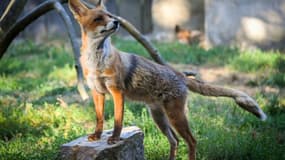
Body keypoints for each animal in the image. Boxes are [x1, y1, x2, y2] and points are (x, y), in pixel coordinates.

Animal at [68, 0, 266, 159]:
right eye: (98, 18)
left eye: (110, 16)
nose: (116, 22)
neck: (96, 61)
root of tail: (181, 75)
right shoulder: (97, 91)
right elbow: (99, 118)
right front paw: (97, 135)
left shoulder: (117, 91)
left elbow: (118, 120)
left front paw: (115, 138)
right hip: (159, 118)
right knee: (175, 141)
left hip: (175, 116)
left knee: (192, 141)